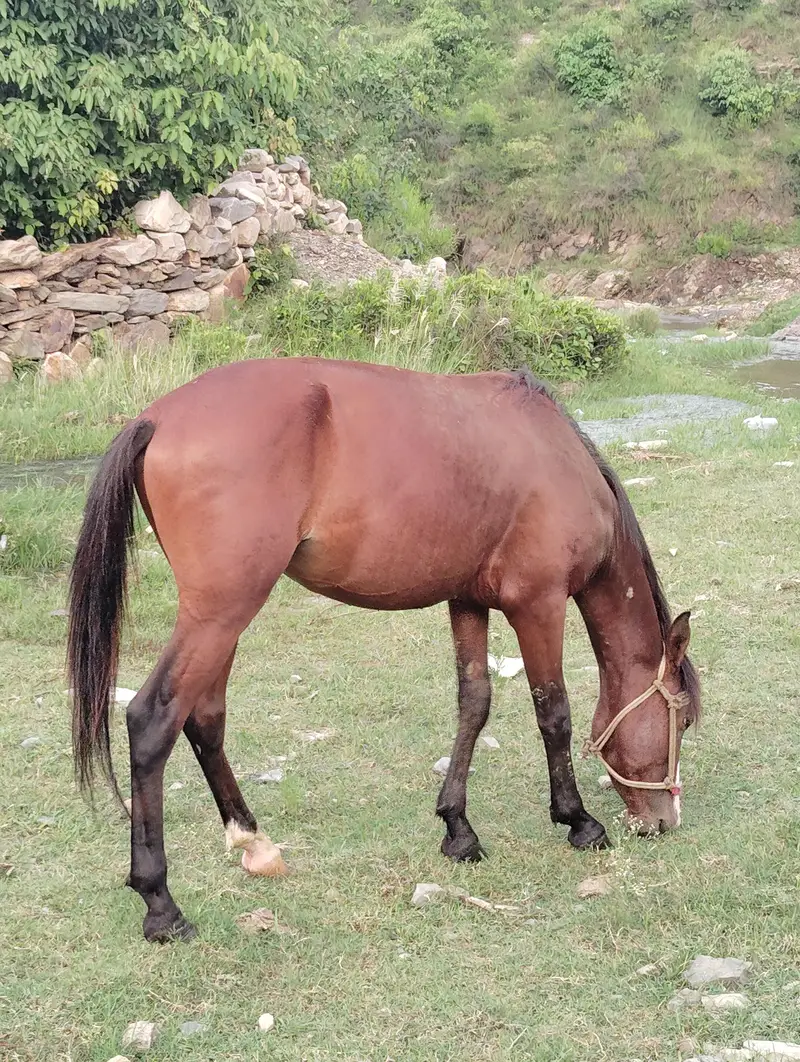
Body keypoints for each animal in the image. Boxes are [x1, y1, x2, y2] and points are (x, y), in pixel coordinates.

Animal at [68, 358, 700, 942]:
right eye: (685, 719)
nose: (664, 819)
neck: (557, 456)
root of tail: (155, 418)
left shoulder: (466, 600)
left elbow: (474, 703)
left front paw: (458, 829)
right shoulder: (538, 605)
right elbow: (554, 713)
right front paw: (578, 822)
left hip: (222, 616)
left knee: (205, 718)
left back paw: (254, 844)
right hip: (221, 612)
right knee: (153, 720)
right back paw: (161, 904)